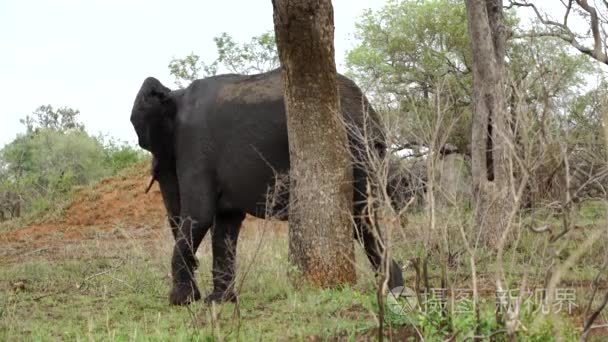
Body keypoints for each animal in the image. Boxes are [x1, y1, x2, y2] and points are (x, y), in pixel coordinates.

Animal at [129, 67, 404, 304]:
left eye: (145, 141)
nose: (196, 266)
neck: (175, 94)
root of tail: (371, 114)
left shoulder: (194, 143)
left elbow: (200, 214)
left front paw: (181, 302)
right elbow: (226, 221)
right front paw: (218, 301)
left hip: (353, 148)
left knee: (359, 218)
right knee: (365, 221)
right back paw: (395, 290)